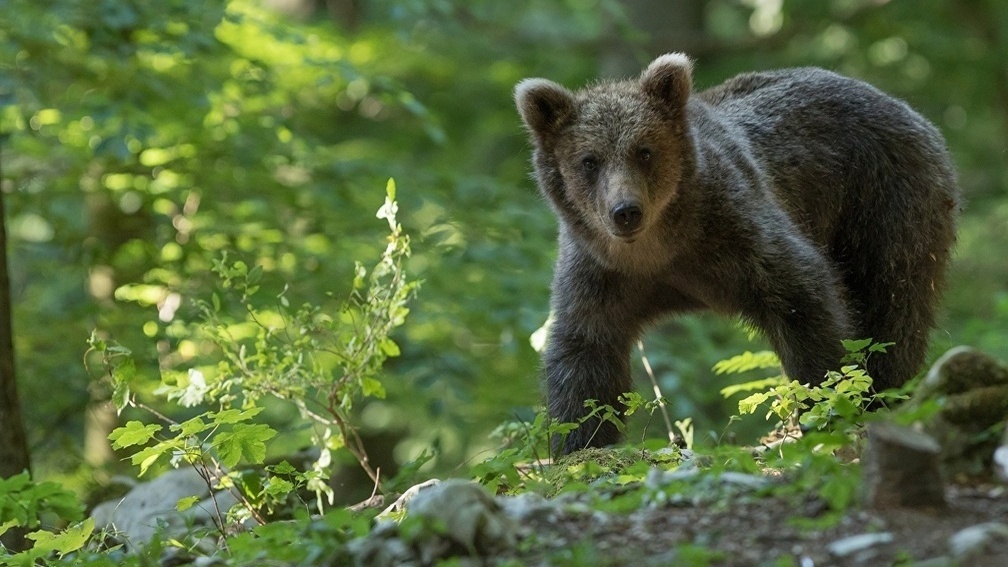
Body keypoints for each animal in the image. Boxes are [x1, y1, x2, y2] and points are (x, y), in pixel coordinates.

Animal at [520, 51, 959, 449]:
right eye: (589, 160)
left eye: (644, 151)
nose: (625, 211)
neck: (662, 251)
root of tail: (903, 106)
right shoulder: (601, 272)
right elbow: (585, 352)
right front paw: (579, 441)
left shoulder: (737, 230)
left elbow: (804, 298)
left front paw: (827, 403)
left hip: (884, 199)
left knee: (893, 306)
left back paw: (888, 391)